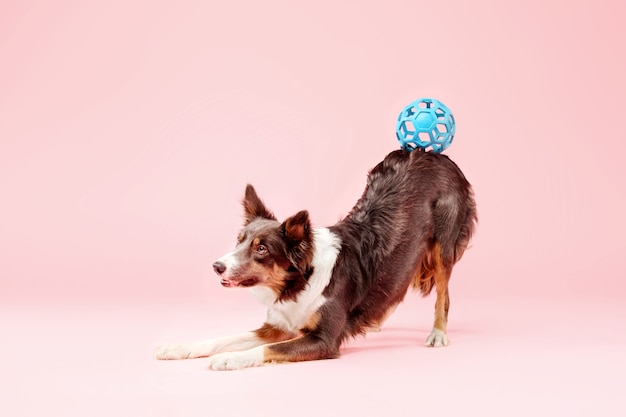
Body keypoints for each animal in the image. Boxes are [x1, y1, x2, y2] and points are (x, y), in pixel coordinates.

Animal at [155, 148, 472, 368]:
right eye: (240, 240)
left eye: (262, 249)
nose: (216, 266)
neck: (298, 283)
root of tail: (431, 153)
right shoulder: (277, 326)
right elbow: (223, 339)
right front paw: (178, 348)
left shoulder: (324, 341)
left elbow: (265, 349)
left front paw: (231, 359)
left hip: (443, 246)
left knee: (443, 294)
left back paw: (438, 333)